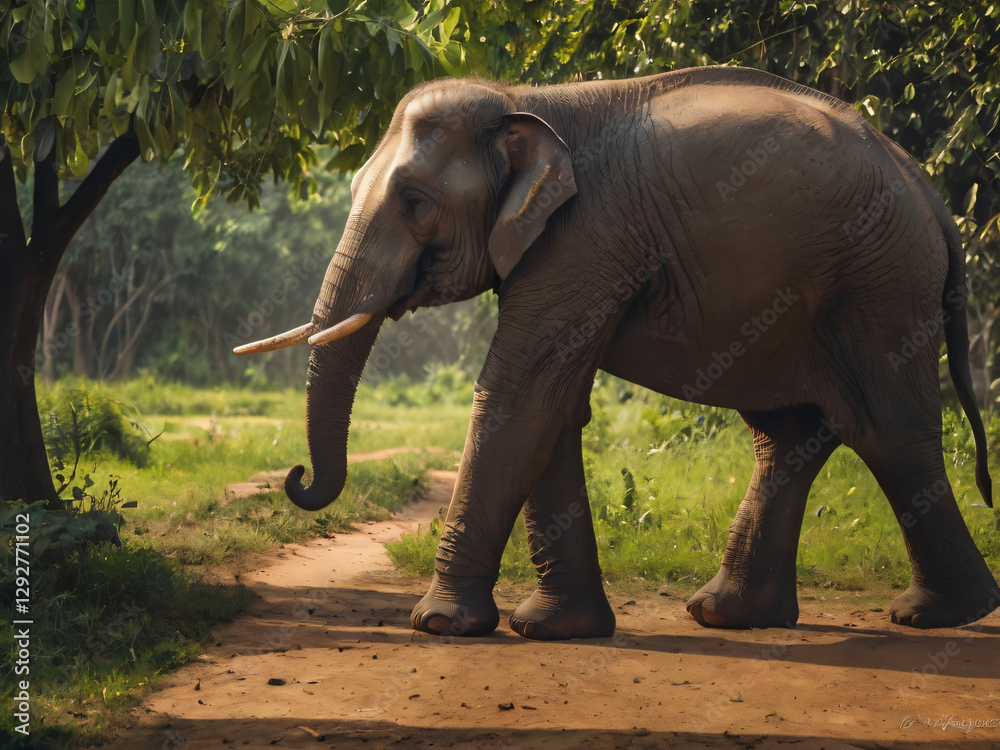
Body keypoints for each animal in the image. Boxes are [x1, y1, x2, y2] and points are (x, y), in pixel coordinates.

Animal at [236, 66, 998, 640]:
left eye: (416, 201)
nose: (296, 476)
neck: (525, 101)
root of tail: (929, 190)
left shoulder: (584, 238)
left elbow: (523, 396)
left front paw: (441, 626)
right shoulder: (568, 248)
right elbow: (553, 408)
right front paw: (553, 630)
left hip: (878, 283)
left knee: (887, 429)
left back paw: (938, 616)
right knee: (788, 438)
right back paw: (727, 615)